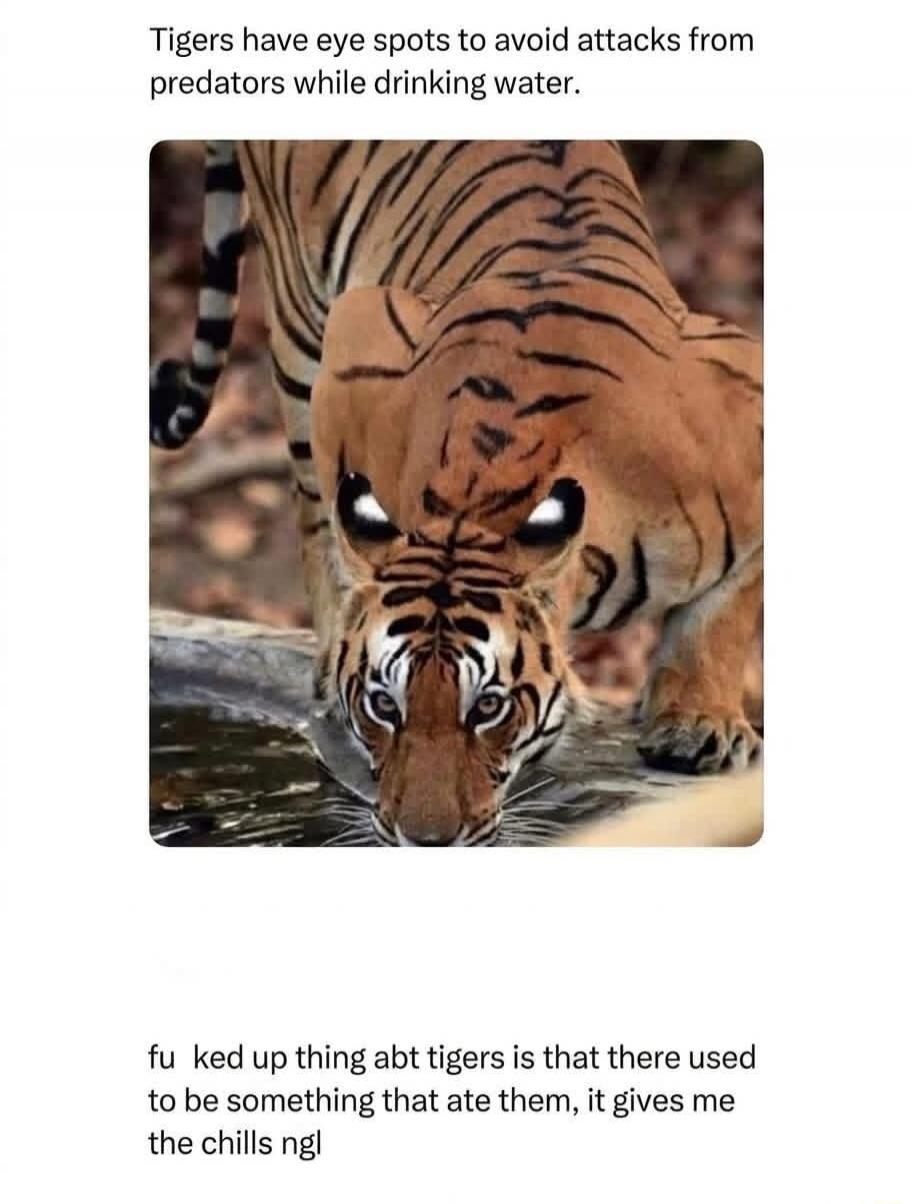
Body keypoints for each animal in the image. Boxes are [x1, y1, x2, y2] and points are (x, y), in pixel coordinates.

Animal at [150, 140, 763, 847]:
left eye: (489, 707)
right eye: (383, 704)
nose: (426, 838)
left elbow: (721, 616)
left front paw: (699, 720)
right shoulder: (359, 341)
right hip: (300, 328)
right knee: (311, 514)